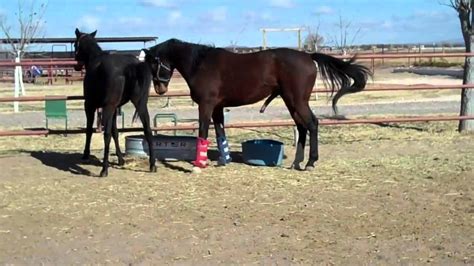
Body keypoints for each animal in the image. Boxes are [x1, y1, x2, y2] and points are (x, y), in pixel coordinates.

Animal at [74, 29, 159, 177]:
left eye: (75, 44)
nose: (76, 63)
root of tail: (132, 65)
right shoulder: (114, 109)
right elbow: (116, 132)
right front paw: (120, 160)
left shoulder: (90, 105)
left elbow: (90, 130)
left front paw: (85, 154)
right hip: (140, 104)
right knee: (148, 130)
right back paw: (152, 165)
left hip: (108, 107)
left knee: (106, 135)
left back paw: (104, 169)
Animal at [144, 39, 370, 170]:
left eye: (154, 63)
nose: (160, 89)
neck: (202, 63)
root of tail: (308, 56)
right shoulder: (217, 107)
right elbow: (220, 132)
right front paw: (223, 160)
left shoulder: (206, 105)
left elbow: (203, 131)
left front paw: (199, 164)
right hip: (291, 101)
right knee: (301, 127)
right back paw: (296, 162)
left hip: (297, 100)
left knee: (312, 124)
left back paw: (310, 162)